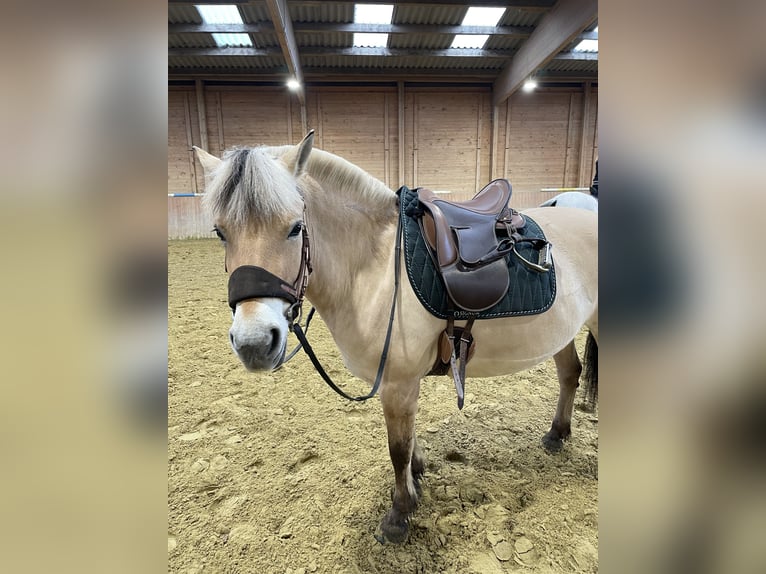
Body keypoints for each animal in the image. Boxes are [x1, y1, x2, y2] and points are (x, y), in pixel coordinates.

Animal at [194, 133, 600, 548]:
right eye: (220, 232)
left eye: (294, 228)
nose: (255, 343)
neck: (374, 267)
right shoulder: (401, 384)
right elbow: (408, 441)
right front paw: (417, 474)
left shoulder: (398, 382)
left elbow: (397, 449)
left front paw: (400, 514)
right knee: (570, 374)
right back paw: (557, 435)